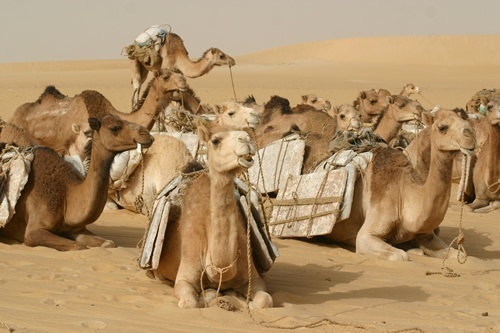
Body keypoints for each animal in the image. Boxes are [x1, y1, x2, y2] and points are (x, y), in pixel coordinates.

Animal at [0, 113, 153, 249]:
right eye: (114, 128)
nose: (146, 134)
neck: (67, 197)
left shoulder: (76, 229)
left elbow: (108, 243)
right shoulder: (33, 231)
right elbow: (78, 246)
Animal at [324, 108, 476, 260]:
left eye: (466, 121)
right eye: (442, 127)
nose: (471, 135)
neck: (403, 195)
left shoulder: (427, 236)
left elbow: (462, 255)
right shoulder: (366, 235)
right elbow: (401, 256)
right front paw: (411, 251)